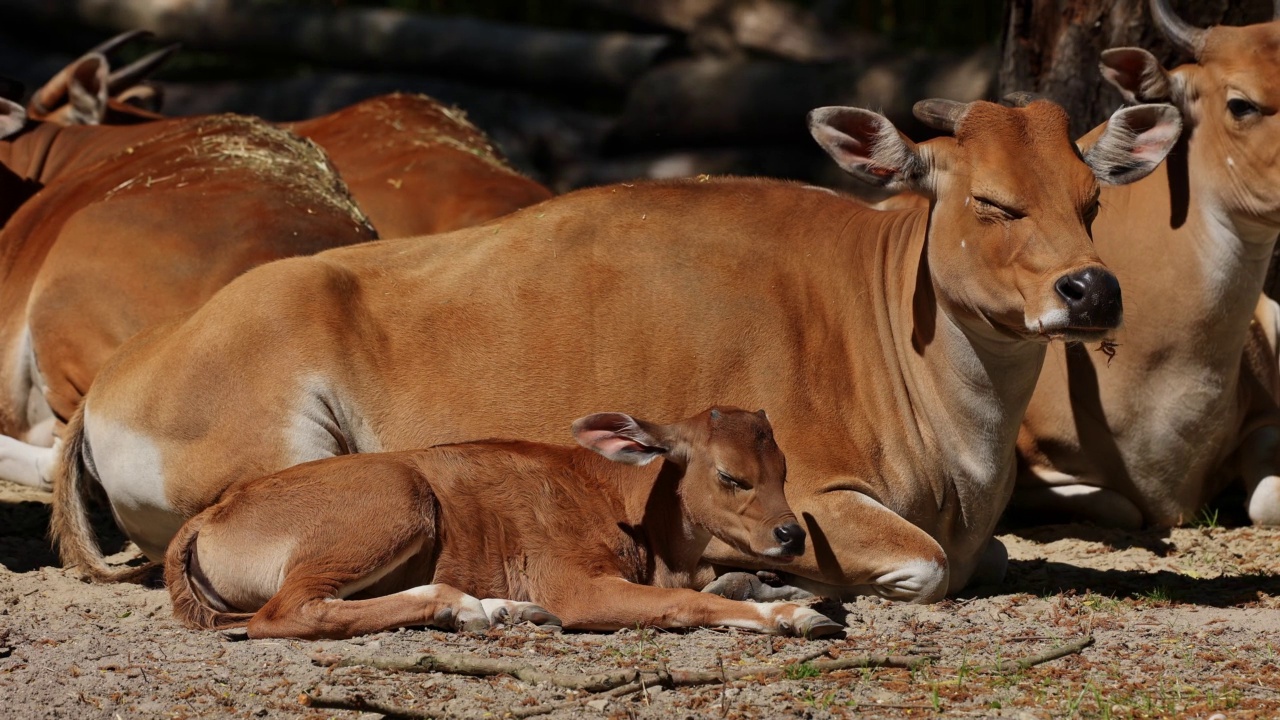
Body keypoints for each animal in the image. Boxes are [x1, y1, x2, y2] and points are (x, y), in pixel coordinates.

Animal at [162, 407, 839, 635]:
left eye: (783, 468)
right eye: (731, 475)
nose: (790, 534)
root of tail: (211, 516)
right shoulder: (576, 586)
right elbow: (689, 604)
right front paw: (794, 615)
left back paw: (501, 609)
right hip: (395, 502)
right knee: (287, 613)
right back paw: (461, 607)